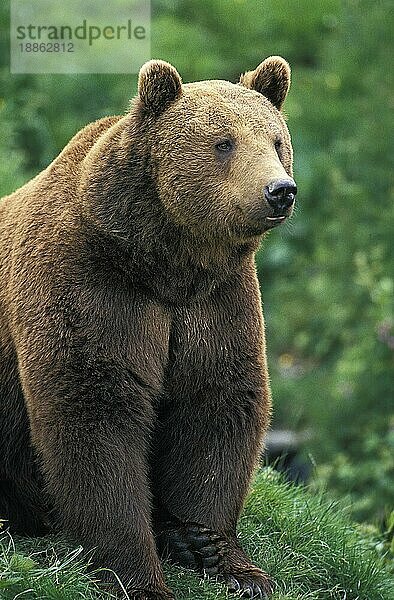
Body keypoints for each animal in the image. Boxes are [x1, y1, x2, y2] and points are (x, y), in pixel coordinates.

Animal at [0, 57, 296, 600]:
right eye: (224, 142)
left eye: (276, 140)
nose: (279, 190)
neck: (165, 261)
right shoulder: (91, 286)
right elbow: (95, 412)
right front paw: (138, 574)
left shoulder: (215, 303)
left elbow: (217, 401)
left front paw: (213, 551)